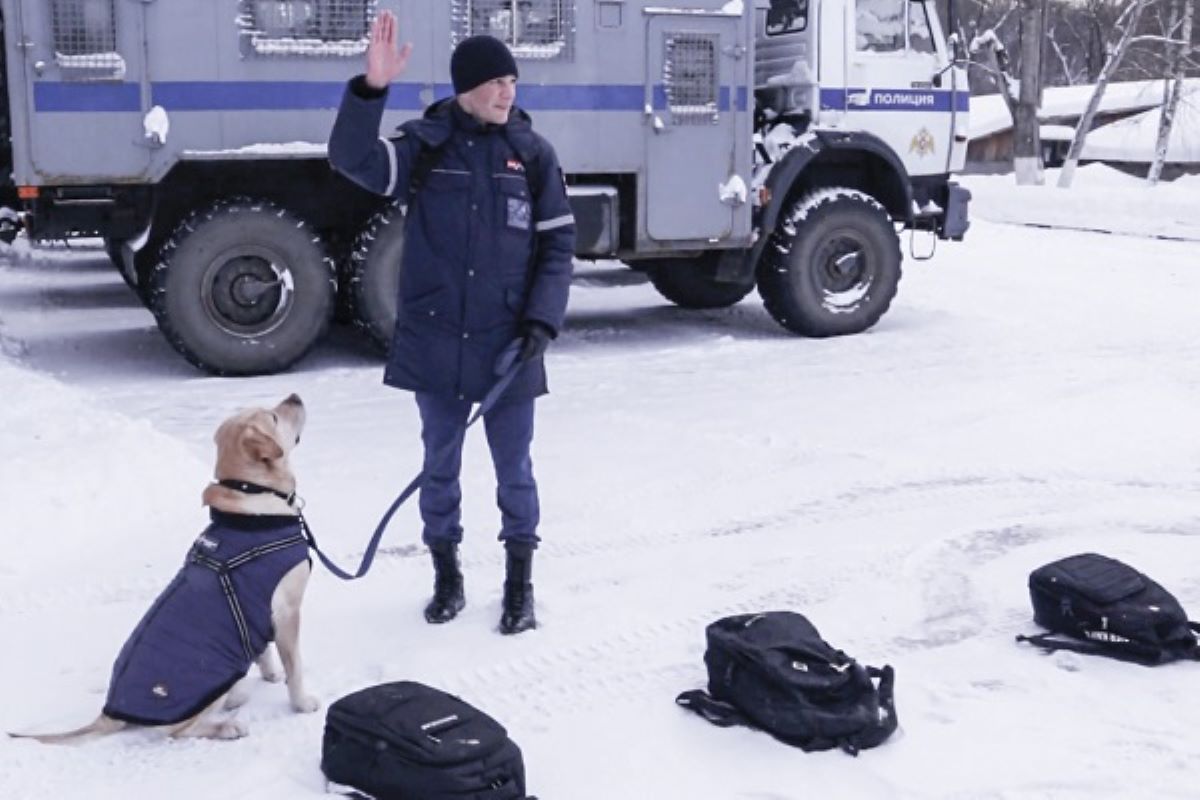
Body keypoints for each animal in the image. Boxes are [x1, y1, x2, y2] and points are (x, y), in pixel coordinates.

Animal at [10, 393, 319, 743]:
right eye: (274, 417)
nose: (295, 396)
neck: (252, 500)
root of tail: (110, 711)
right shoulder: (287, 610)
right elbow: (295, 667)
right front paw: (301, 703)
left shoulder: (258, 614)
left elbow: (262, 650)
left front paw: (270, 674)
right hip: (210, 681)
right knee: (178, 730)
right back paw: (228, 725)